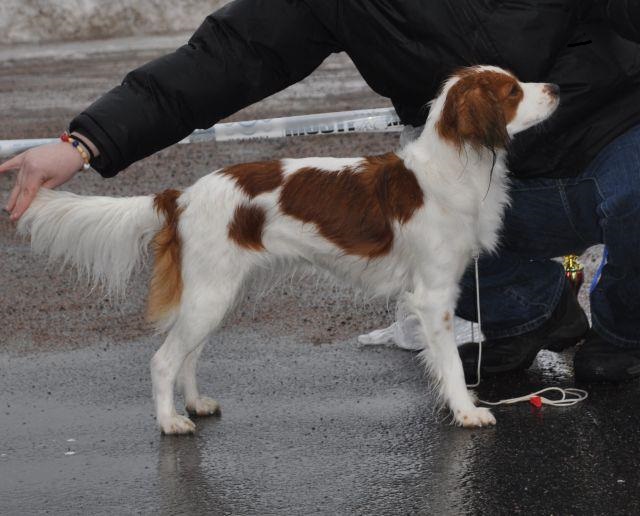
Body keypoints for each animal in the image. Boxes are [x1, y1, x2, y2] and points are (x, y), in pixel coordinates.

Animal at [17, 66, 556, 434]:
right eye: (513, 91)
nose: (555, 88)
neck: (452, 168)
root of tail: (182, 196)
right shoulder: (434, 294)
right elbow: (450, 363)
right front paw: (467, 411)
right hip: (210, 295)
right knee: (164, 360)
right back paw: (170, 422)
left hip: (216, 294)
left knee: (188, 355)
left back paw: (196, 404)